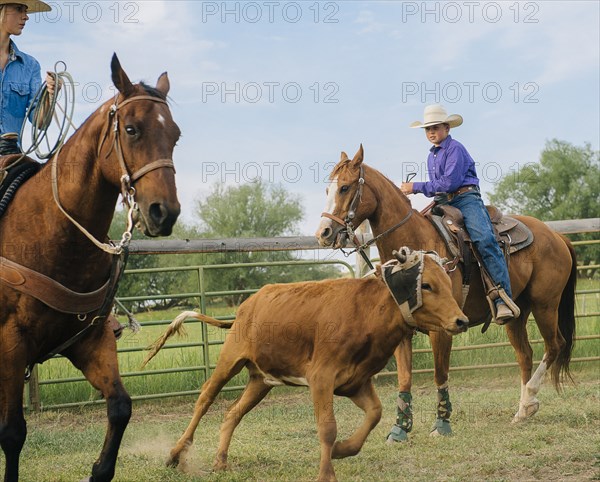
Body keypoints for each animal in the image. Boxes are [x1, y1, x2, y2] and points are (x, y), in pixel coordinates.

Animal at [0, 54, 180, 480]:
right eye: (131, 129)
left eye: (176, 136)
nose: (164, 213)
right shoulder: (10, 342)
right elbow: (12, 433)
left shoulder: (91, 339)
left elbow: (120, 407)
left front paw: (98, 469)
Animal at [144, 249, 468, 482]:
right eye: (426, 285)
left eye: (446, 284)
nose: (461, 320)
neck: (366, 311)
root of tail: (247, 305)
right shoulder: (322, 378)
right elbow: (327, 427)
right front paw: (326, 473)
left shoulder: (356, 382)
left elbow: (374, 414)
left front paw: (342, 450)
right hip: (230, 359)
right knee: (204, 400)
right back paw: (175, 454)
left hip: (261, 380)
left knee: (232, 413)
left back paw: (220, 461)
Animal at [316, 145, 580, 442]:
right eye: (327, 189)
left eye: (345, 187)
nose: (323, 232)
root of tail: (557, 236)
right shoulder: (402, 331)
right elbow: (405, 377)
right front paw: (399, 429)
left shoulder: (443, 330)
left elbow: (440, 374)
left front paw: (441, 425)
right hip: (517, 313)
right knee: (525, 354)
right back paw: (523, 410)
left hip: (546, 304)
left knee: (554, 345)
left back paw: (531, 398)